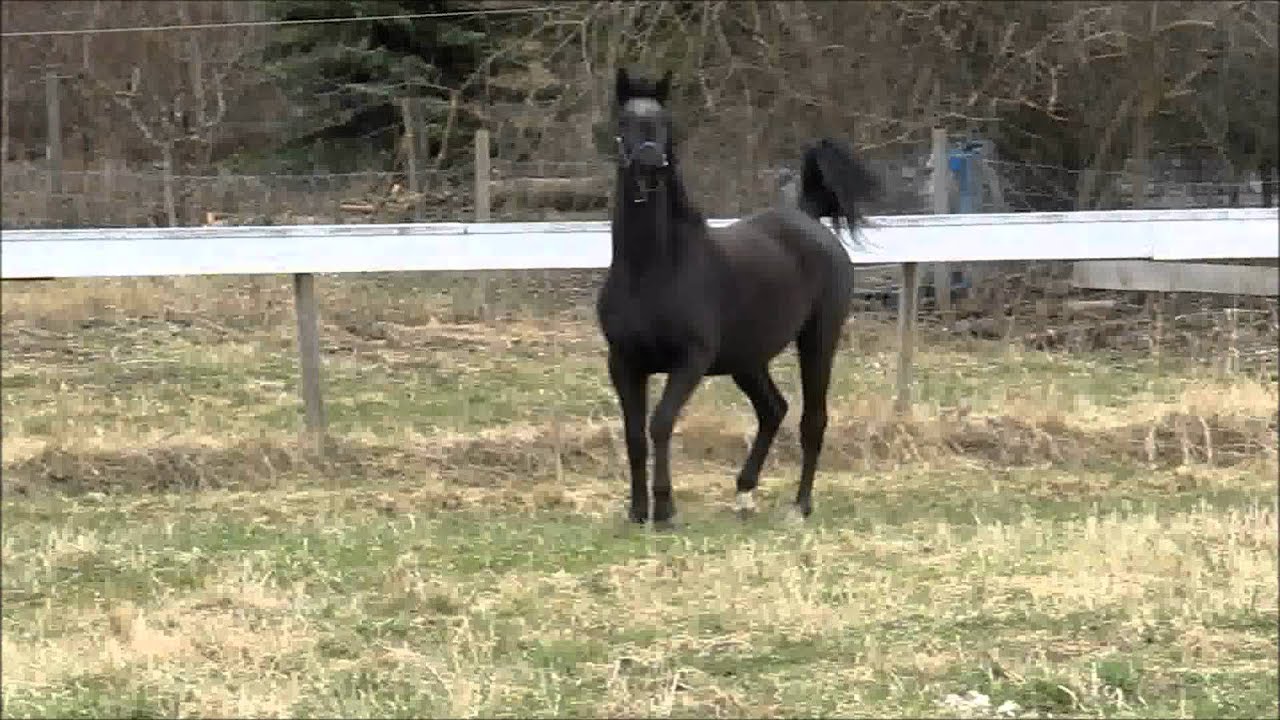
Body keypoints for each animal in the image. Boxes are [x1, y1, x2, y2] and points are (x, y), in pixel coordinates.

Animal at [595, 67, 880, 526]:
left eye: (665, 123)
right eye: (625, 122)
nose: (651, 166)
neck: (653, 269)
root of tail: (807, 218)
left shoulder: (689, 361)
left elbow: (660, 423)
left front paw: (666, 508)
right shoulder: (623, 362)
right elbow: (634, 434)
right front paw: (638, 512)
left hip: (818, 340)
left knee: (812, 418)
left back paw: (799, 506)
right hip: (747, 359)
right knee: (773, 409)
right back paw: (744, 493)